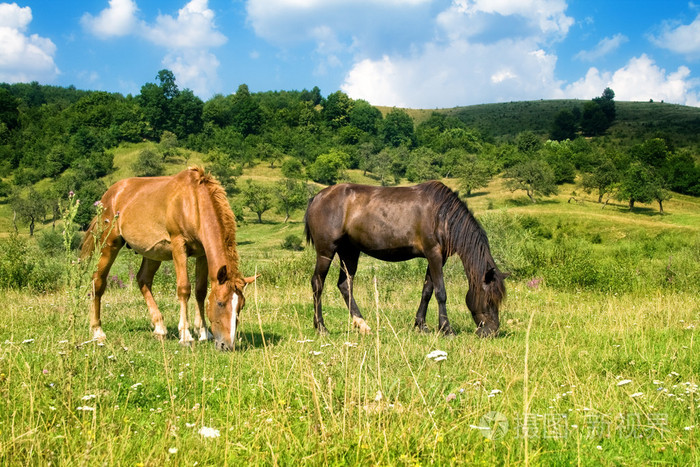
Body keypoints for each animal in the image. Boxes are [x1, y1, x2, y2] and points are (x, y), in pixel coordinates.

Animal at [81, 168, 258, 352]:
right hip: (109, 245)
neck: (194, 202)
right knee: (98, 282)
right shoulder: (178, 245)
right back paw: (98, 332)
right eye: (220, 303)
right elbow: (184, 289)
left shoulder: (202, 253)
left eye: (241, 306)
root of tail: (109, 195)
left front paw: (203, 332)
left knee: (143, 280)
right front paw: (186, 335)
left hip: (152, 253)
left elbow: (200, 291)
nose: (227, 345)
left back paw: (159, 328)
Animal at [304, 181, 506, 338]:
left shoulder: (437, 258)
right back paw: (321, 327)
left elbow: (427, 291)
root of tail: (317, 197)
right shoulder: (433, 254)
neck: (442, 215)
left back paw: (362, 324)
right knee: (318, 284)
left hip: (350, 252)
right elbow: (440, 292)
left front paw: (421, 325)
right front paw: (447, 330)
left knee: (345, 285)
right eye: (489, 299)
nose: (492, 332)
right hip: (326, 252)